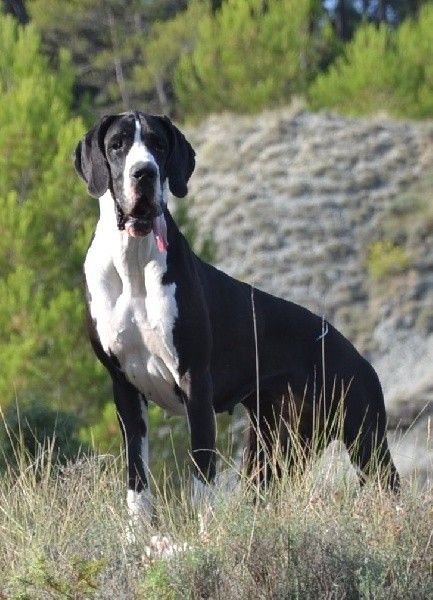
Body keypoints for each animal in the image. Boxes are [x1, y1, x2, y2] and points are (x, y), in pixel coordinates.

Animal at [74, 111, 399, 519]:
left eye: (158, 144)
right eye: (117, 144)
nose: (144, 172)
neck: (134, 258)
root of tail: (358, 356)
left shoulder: (195, 383)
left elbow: (201, 477)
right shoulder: (124, 388)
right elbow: (137, 482)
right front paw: (137, 532)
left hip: (365, 439)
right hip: (275, 451)